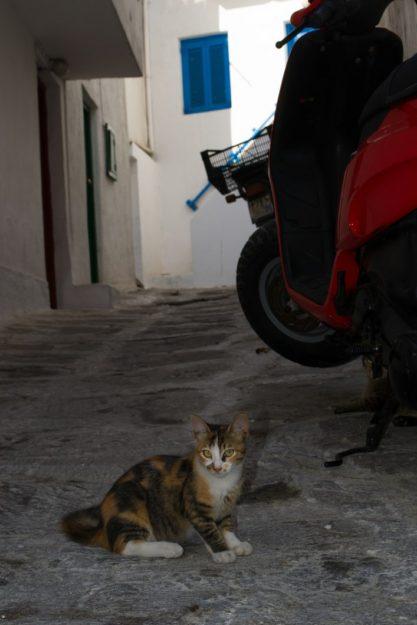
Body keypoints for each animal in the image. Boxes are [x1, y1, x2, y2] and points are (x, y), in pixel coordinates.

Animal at [61, 412, 250, 564]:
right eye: (206, 453)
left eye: (229, 452)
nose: (217, 467)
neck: (222, 483)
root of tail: (103, 524)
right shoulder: (193, 507)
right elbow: (210, 530)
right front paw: (221, 551)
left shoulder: (226, 505)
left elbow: (226, 525)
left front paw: (235, 544)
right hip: (132, 499)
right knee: (124, 546)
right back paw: (170, 548)